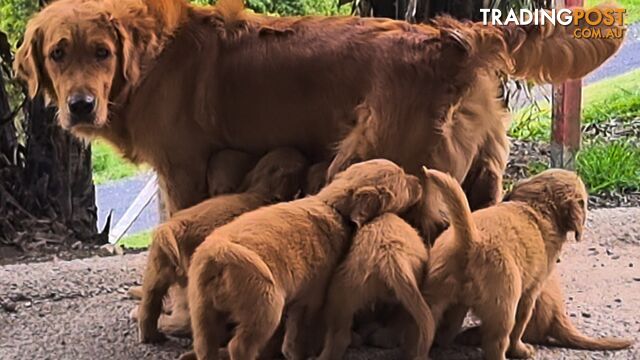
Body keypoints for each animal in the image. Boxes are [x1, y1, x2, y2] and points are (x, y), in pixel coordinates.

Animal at [135, 147, 308, 344]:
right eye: (298, 164)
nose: (301, 152)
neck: (259, 190)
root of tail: (173, 228)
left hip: (155, 272)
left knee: (149, 303)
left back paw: (151, 336)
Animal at [181, 160, 420, 360]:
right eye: (402, 180)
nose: (418, 181)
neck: (332, 205)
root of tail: (218, 254)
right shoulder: (311, 297)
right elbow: (297, 333)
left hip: (201, 308)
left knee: (205, 344)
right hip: (265, 307)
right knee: (239, 346)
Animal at [420, 169, 592, 360]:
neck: (537, 207)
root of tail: (472, 240)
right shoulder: (530, 293)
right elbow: (519, 326)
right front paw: (520, 350)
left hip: (435, 297)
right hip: (505, 305)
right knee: (496, 343)